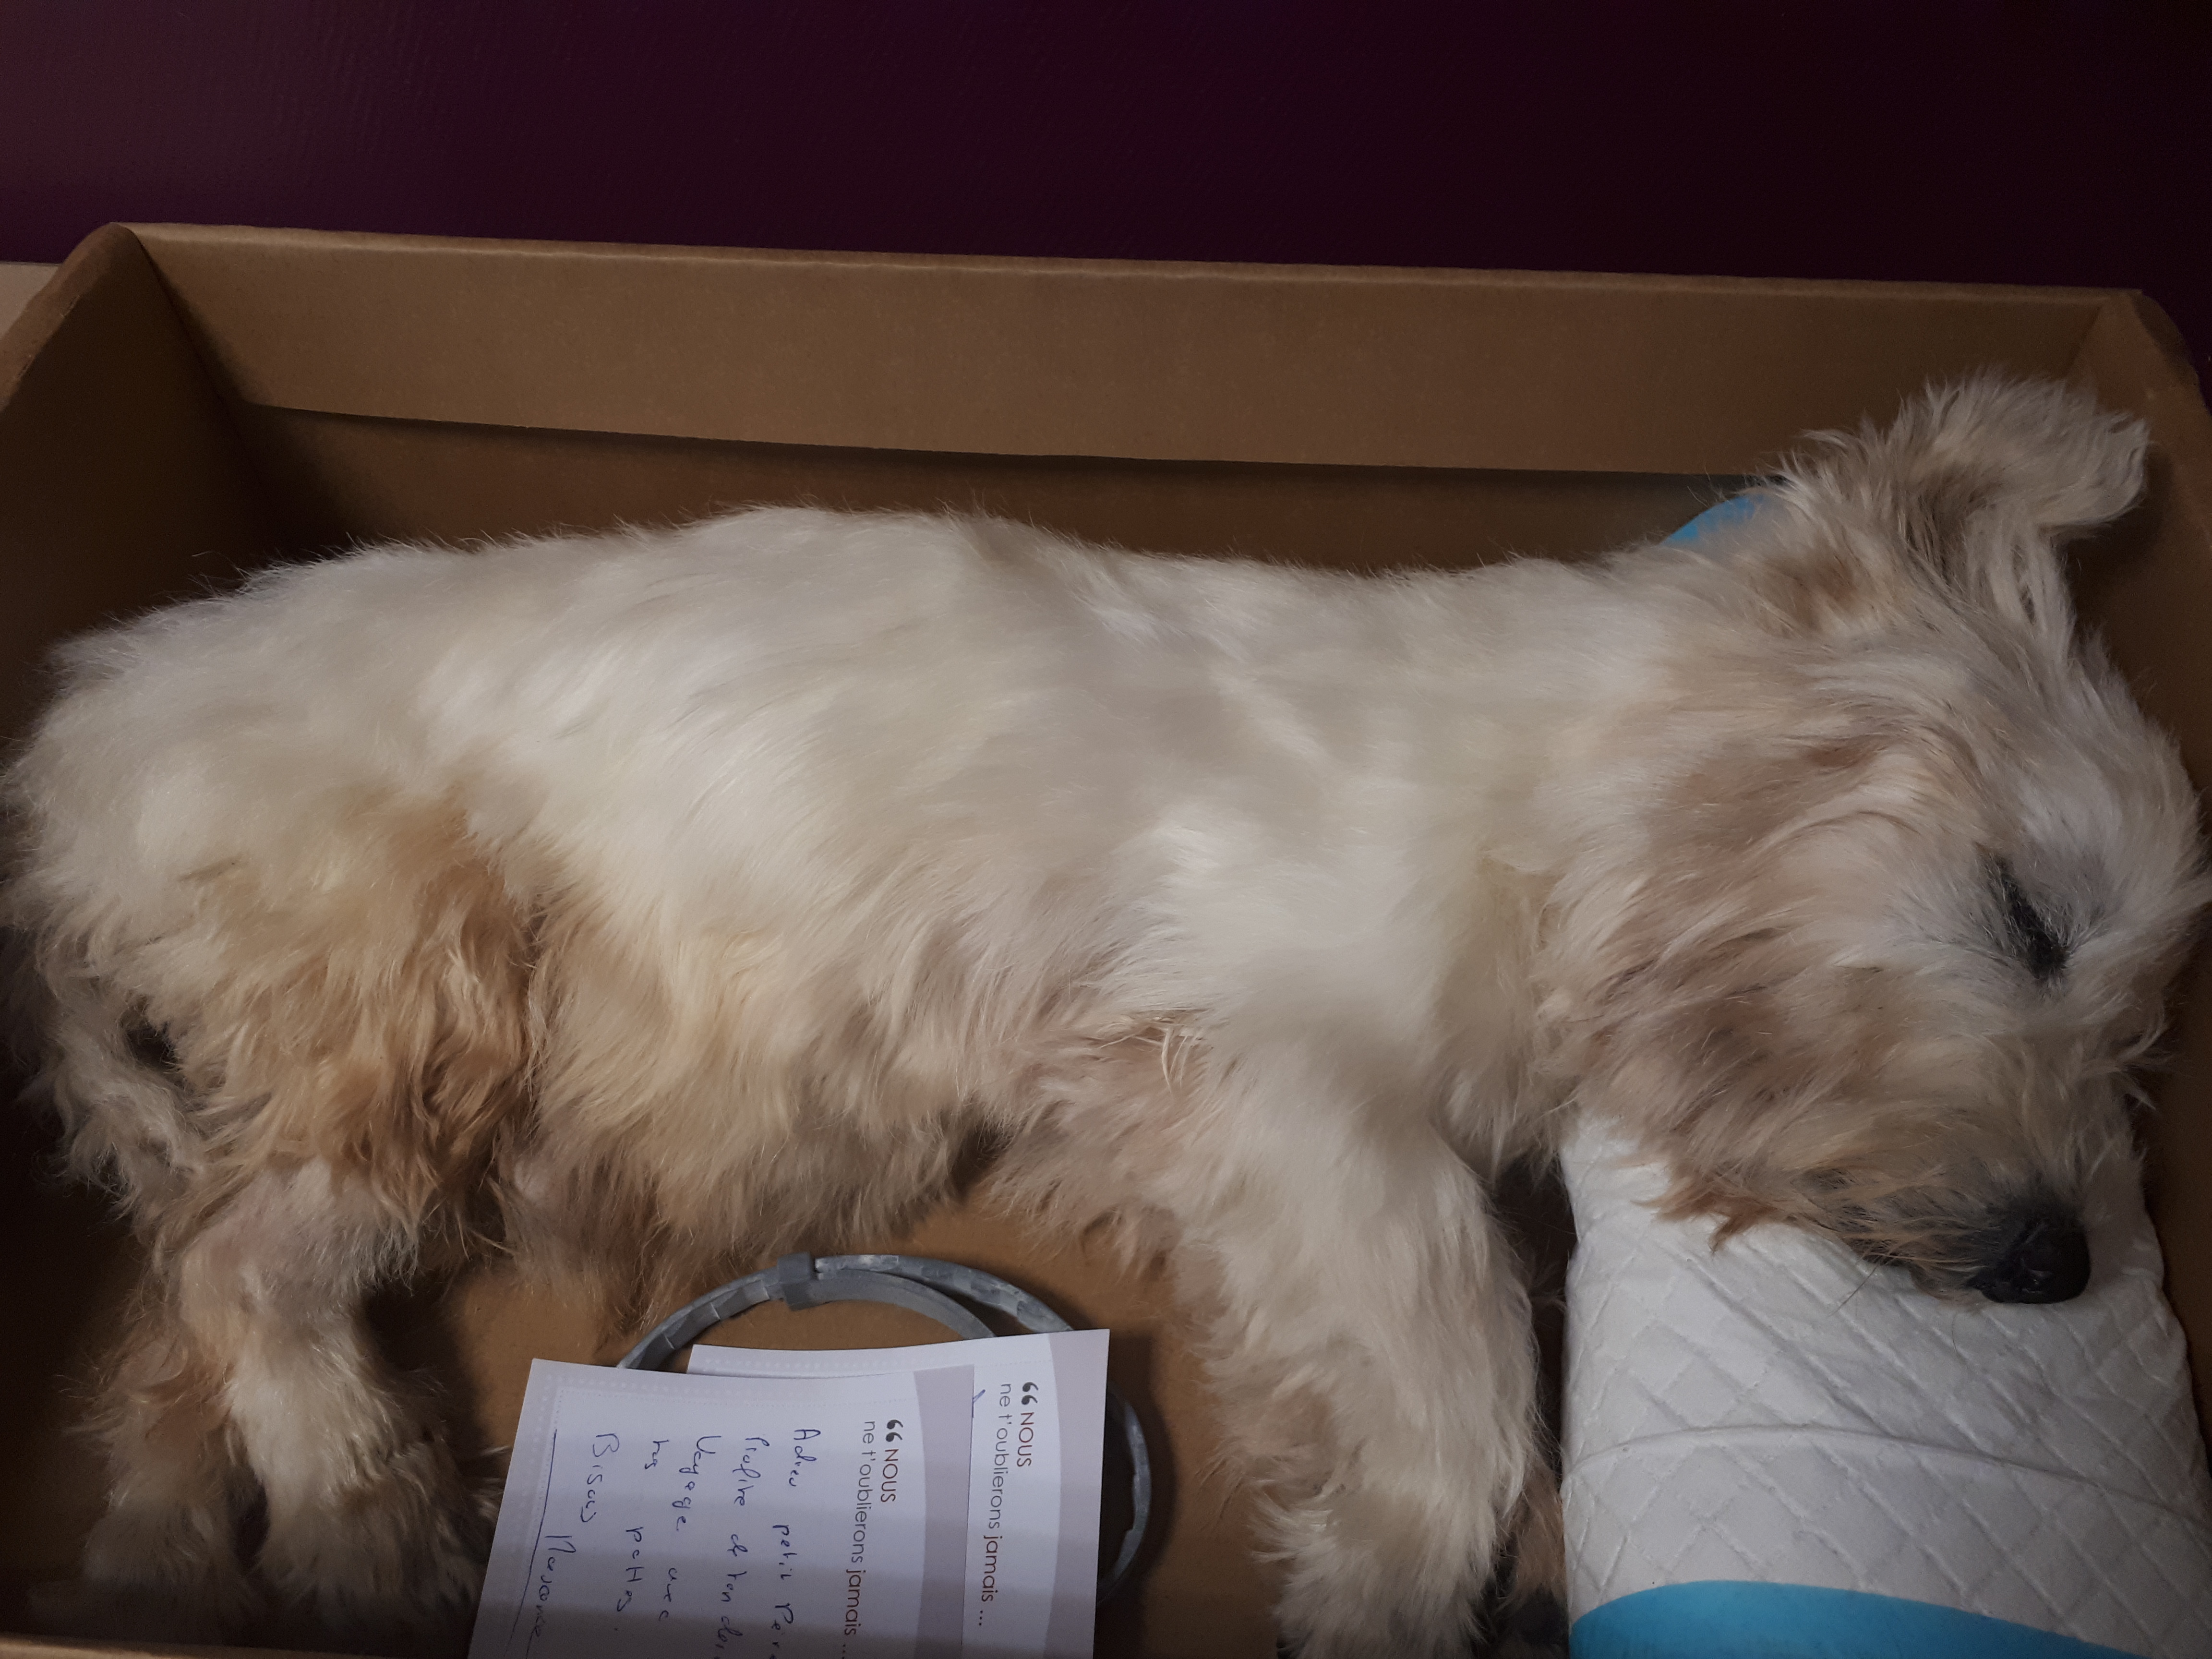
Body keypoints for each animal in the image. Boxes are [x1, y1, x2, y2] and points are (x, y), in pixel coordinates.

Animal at [4, 376, 2203, 1657]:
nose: (2053, 1261)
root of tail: (80, 739)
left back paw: (172, 1540)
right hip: (410, 993)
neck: (1562, 802)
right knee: (245, 1265)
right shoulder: (1277, 1071)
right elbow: (1462, 1343)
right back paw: (361, 1516)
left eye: (2136, 1041)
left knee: (170, 1310)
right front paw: (1395, 1574)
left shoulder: (1186, 1120)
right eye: (2027, 916)